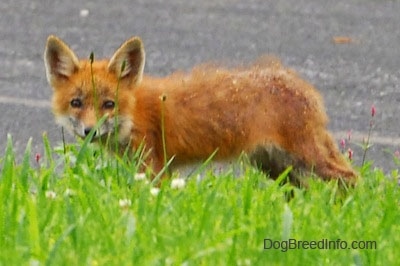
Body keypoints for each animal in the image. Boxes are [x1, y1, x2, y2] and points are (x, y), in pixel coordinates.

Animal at [44, 35, 360, 185]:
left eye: (109, 105)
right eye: (76, 103)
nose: (89, 130)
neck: (134, 115)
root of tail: (303, 85)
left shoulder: (154, 167)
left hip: (305, 159)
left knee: (350, 178)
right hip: (274, 167)